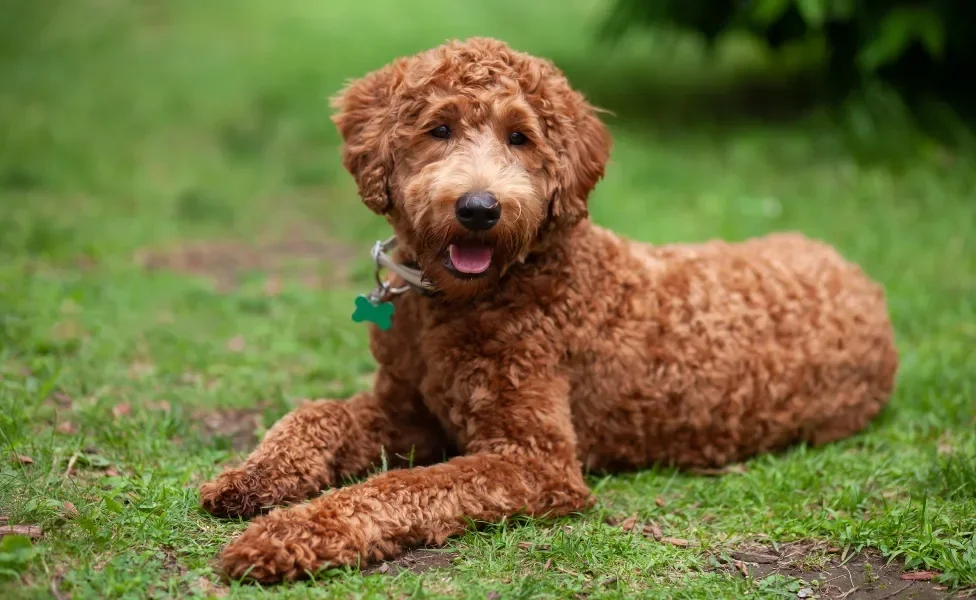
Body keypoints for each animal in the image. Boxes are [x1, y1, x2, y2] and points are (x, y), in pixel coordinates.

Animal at [200, 36, 900, 580]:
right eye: (439, 128)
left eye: (520, 137)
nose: (479, 208)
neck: (469, 299)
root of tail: (859, 276)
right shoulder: (406, 410)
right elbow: (315, 414)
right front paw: (250, 478)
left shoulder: (533, 459)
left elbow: (405, 485)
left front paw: (286, 535)